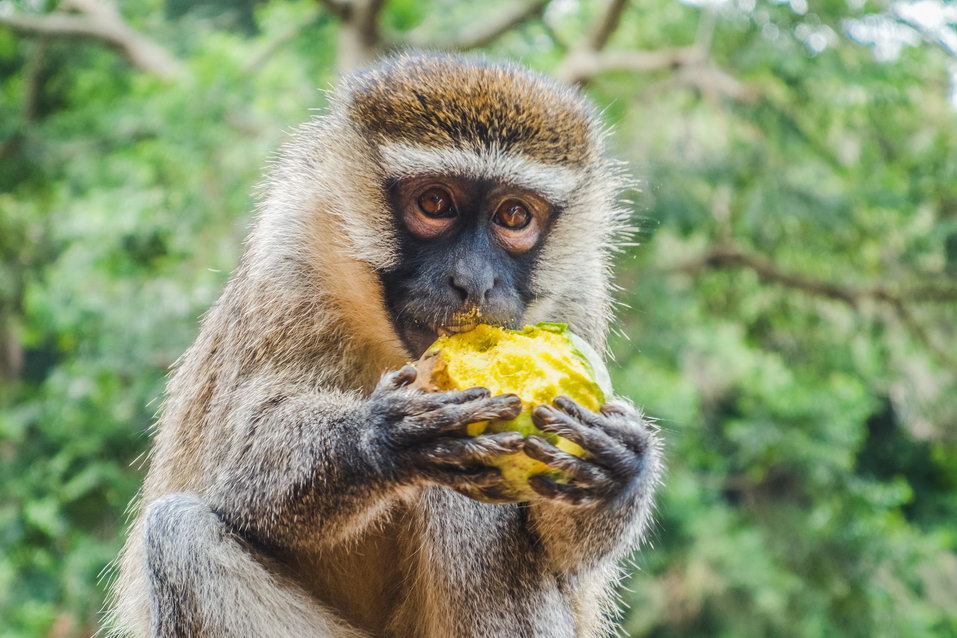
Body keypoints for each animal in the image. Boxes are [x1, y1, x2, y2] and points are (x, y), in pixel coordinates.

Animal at [102, 53, 656, 638]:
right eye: (435, 203)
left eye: (514, 216)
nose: (474, 281)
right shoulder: (289, 249)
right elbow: (244, 458)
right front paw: (378, 437)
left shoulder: (579, 292)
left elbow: (565, 555)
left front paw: (621, 466)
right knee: (178, 534)